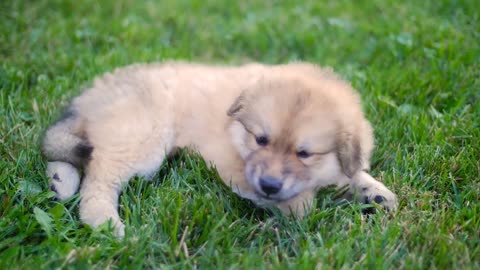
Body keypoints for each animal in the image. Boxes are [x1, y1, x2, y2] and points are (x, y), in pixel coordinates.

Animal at [43, 62, 398, 235]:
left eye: (304, 153)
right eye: (261, 140)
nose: (270, 185)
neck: (235, 129)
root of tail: (92, 96)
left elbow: (349, 173)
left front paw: (375, 192)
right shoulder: (230, 162)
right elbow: (300, 201)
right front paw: (297, 208)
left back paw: (59, 183)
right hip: (142, 138)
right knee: (98, 178)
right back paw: (104, 222)